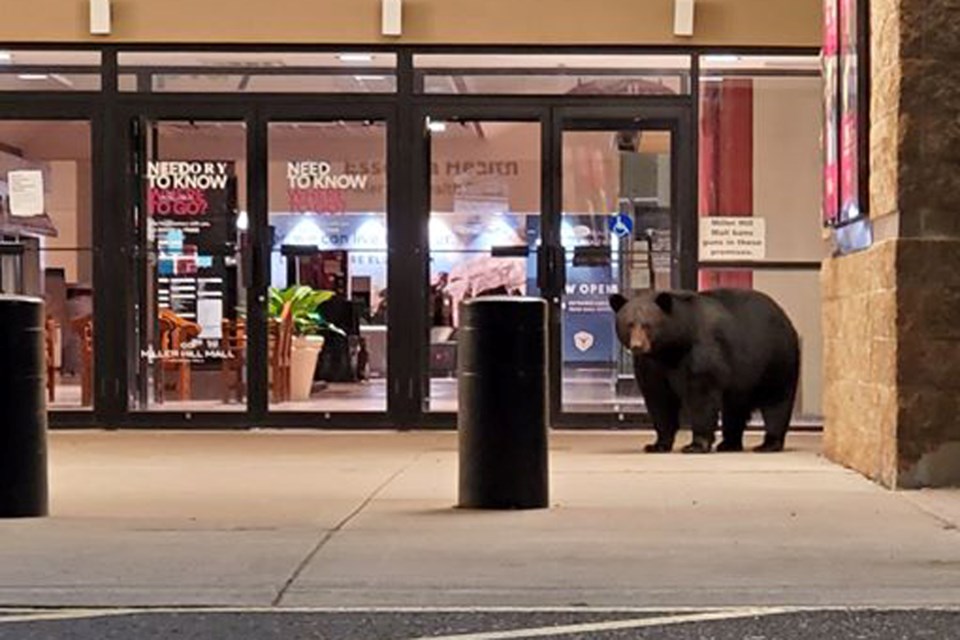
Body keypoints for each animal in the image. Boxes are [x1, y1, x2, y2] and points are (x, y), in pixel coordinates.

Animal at [608, 288, 804, 452]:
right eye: (629, 324)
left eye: (647, 325)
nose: (637, 346)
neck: (672, 348)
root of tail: (785, 318)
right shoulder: (652, 364)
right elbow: (658, 399)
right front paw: (657, 444)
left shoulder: (702, 350)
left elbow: (702, 394)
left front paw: (696, 445)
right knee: (734, 408)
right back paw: (729, 444)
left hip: (775, 359)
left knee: (776, 401)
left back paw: (769, 443)